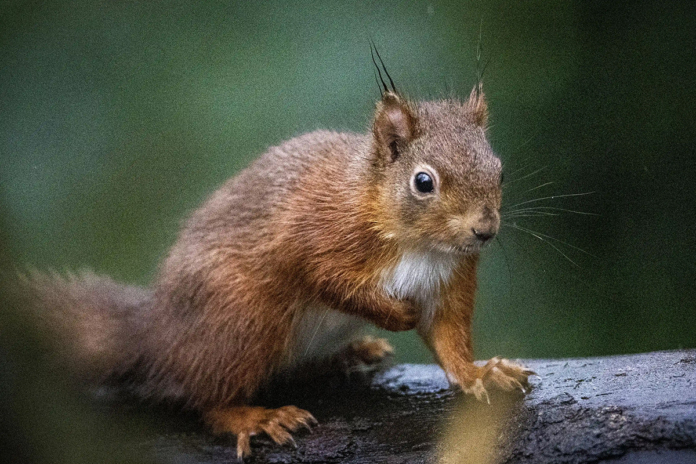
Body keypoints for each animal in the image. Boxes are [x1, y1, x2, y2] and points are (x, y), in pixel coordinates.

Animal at [20, 67, 532, 458]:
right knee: (205, 398)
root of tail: (157, 334)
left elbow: (449, 338)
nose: (484, 230)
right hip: (244, 319)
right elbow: (328, 281)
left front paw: (479, 372)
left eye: (500, 170)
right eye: (423, 182)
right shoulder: (311, 236)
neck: (418, 244)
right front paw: (396, 314)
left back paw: (348, 355)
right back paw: (252, 416)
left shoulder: (451, 280)